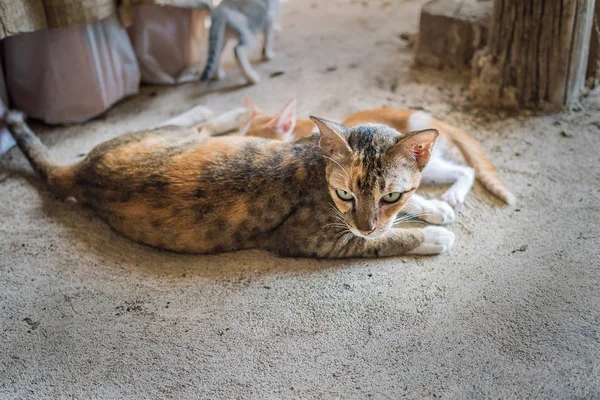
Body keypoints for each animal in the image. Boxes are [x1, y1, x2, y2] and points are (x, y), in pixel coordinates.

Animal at [3, 109, 454, 258]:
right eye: (345, 194)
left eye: (391, 194)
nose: (366, 225)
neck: (315, 166)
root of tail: (83, 171)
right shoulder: (310, 238)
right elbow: (380, 243)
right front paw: (432, 236)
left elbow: (408, 211)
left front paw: (436, 207)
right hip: (164, 135)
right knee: (192, 120)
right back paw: (221, 111)